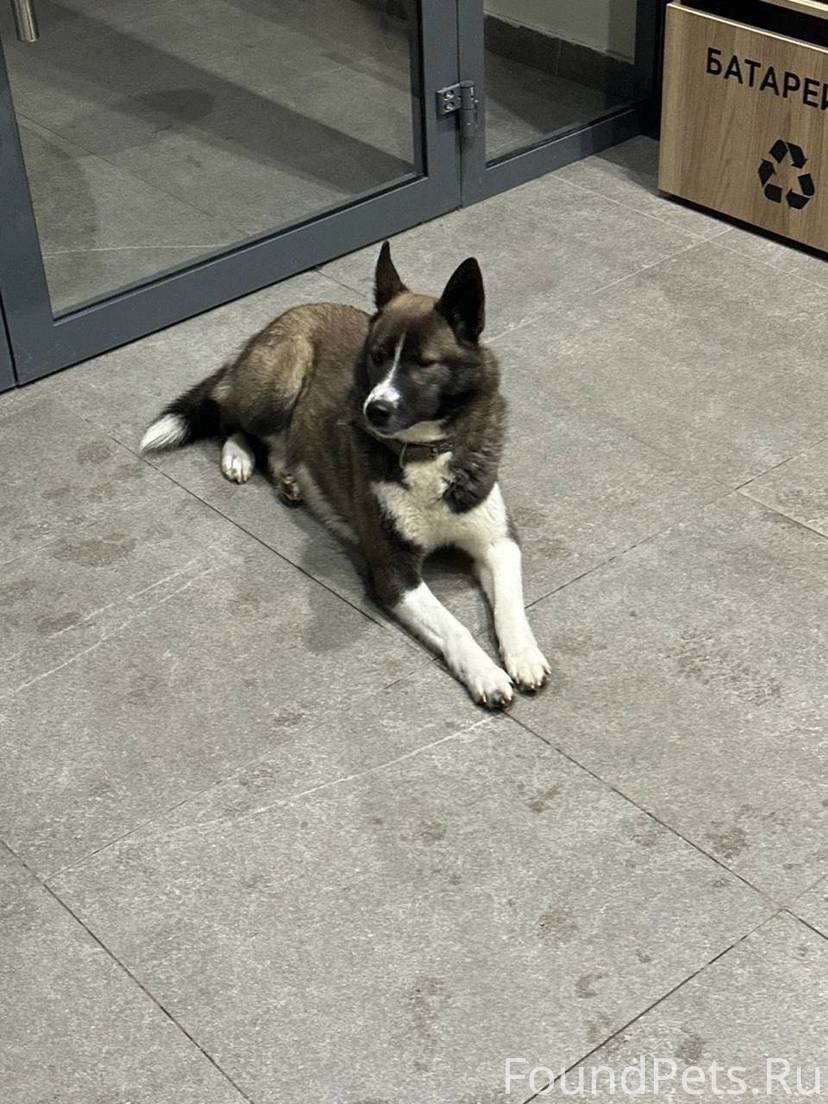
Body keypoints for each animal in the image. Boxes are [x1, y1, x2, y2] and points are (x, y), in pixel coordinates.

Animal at [140, 243, 550, 708]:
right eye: (377, 357)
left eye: (423, 363)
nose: (375, 410)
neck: (425, 450)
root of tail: (293, 310)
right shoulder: (394, 574)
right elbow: (454, 627)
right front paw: (485, 673)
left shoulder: (498, 543)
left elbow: (510, 607)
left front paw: (523, 656)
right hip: (277, 386)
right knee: (228, 413)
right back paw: (238, 455)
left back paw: (289, 478)